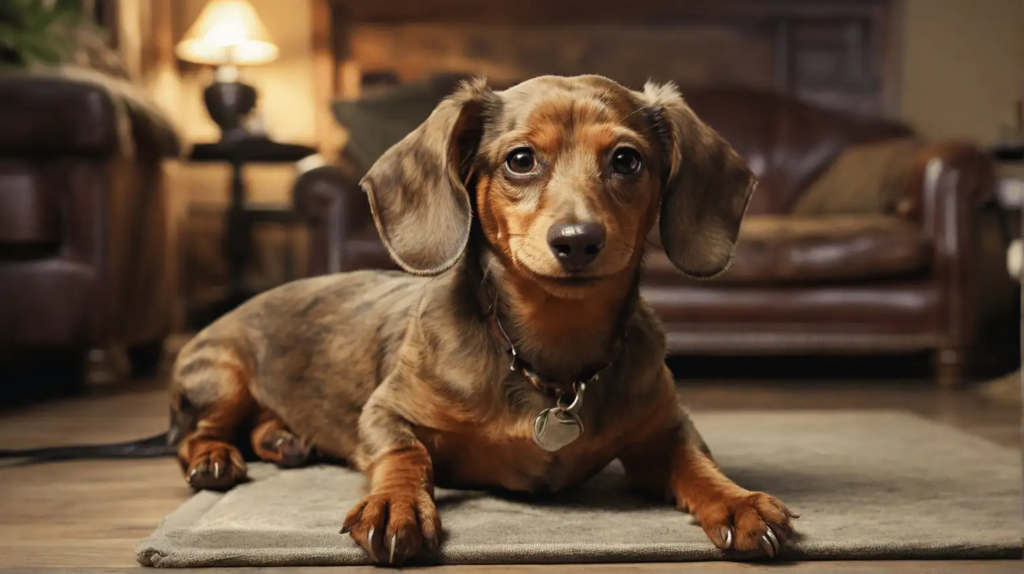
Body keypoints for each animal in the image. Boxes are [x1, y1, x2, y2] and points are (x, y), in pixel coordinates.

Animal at [167, 75, 794, 564]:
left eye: (626, 159)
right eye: (521, 159)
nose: (577, 240)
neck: (549, 360)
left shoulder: (662, 432)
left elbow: (697, 463)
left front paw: (738, 501)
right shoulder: (384, 411)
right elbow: (406, 454)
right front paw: (395, 504)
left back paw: (284, 439)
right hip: (221, 377)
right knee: (196, 434)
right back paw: (217, 461)